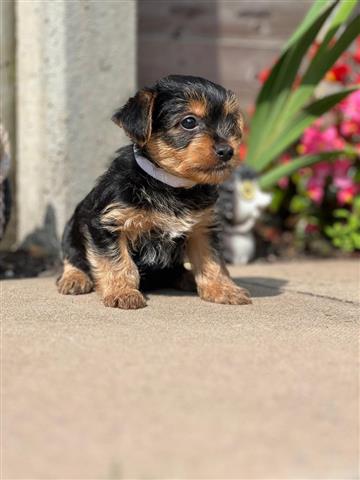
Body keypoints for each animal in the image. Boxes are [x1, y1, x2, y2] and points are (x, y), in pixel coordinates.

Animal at [57, 73, 252, 310]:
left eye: (231, 122)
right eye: (189, 122)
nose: (227, 151)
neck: (171, 185)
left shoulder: (202, 228)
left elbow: (212, 261)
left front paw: (223, 289)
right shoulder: (107, 223)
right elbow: (118, 261)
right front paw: (123, 292)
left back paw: (186, 277)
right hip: (71, 229)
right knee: (72, 257)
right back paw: (74, 278)